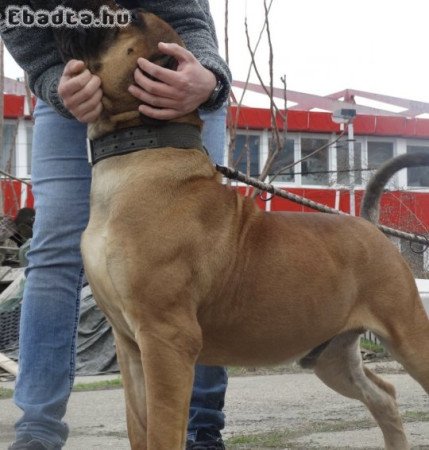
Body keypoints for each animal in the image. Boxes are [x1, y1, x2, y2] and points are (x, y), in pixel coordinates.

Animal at [54, 4, 428, 450]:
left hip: (407, 334)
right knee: (383, 396)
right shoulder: (130, 348)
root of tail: (370, 226)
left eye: (128, 17)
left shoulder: (165, 339)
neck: (141, 151)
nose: (77, 11)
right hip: (332, 356)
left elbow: (162, 431)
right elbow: (139, 429)